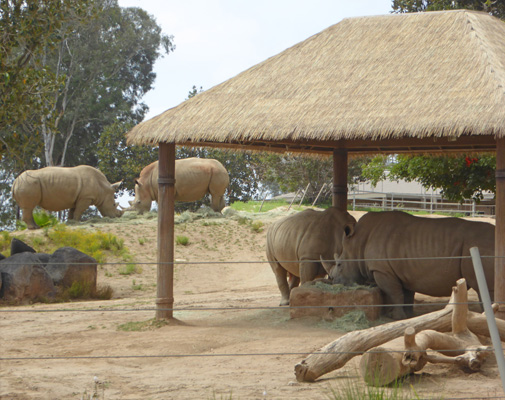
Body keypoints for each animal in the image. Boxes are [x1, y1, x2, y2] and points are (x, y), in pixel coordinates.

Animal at [320, 211, 494, 320]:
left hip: (479, 246)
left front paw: (395, 317)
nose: (333, 281)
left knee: (483, 287)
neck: (357, 245)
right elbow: (407, 295)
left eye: (340, 264)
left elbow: (394, 293)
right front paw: (409, 316)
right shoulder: (405, 271)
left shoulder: (383, 270)